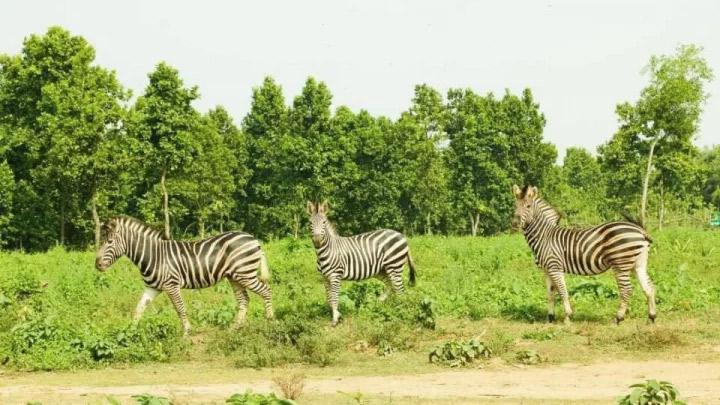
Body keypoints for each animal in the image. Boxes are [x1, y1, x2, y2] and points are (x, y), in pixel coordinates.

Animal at [94, 216, 274, 336]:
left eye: (109, 242)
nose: (97, 265)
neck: (154, 255)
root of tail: (253, 239)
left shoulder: (171, 285)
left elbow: (180, 308)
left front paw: (187, 332)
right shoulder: (152, 287)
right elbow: (139, 309)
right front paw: (129, 333)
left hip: (245, 274)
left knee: (266, 290)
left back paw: (270, 321)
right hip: (235, 277)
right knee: (244, 300)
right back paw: (234, 328)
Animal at [512, 185, 660, 324]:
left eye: (528, 206)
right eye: (515, 206)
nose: (514, 224)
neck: (544, 235)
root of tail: (640, 230)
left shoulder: (555, 267)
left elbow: (562, 291)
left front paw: (568, 317)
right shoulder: (546, 270)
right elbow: (550, 293)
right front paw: (550, 318)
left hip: (621, 264)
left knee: (627, 290)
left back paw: (618, 318)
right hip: (638, 264)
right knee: (649, 288)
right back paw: (651, 317)